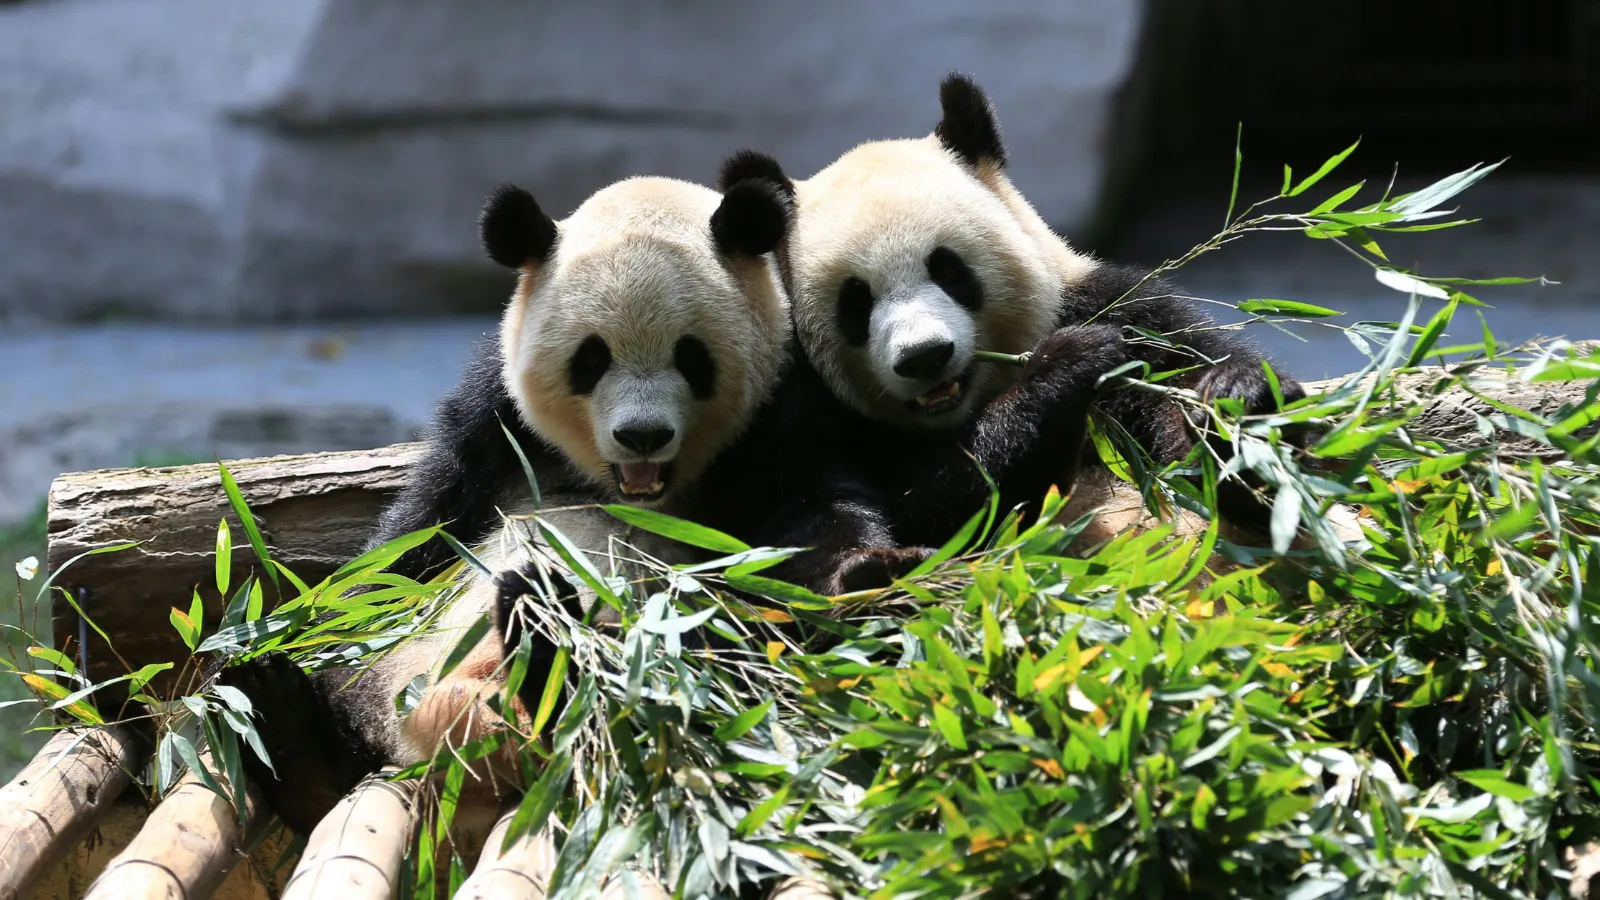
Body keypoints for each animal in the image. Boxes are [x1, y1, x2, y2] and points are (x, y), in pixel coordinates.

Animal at [217, 172, 798, 835]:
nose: (642, 435)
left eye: (691, 356)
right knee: (352, 690)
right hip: (405, 666)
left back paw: (546, 643)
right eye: (591, 359)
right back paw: (289, 727)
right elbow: (412, 541)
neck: (626, 489)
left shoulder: (781, 422)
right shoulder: (493, 418)